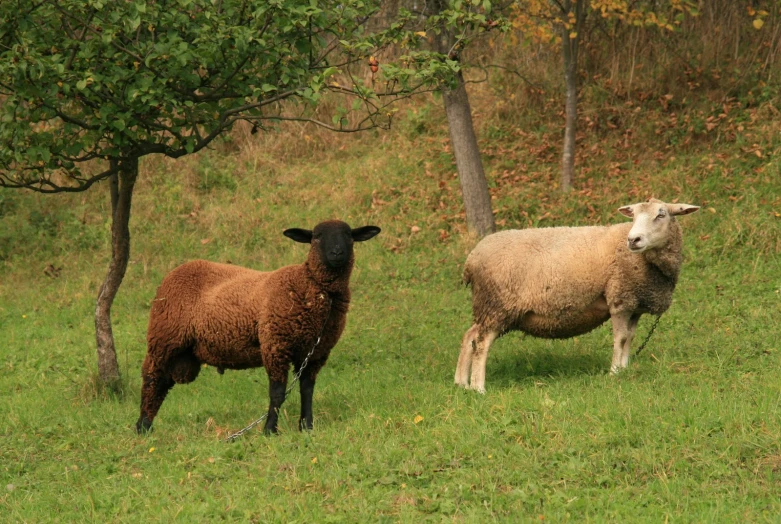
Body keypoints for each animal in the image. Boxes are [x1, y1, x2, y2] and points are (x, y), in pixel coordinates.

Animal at [136, 220, 380, 434]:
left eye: (349, 235)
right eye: (317, 237)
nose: (337, 253)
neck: (313, 289)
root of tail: (175, 271)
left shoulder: (316, 352)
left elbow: (307, 390)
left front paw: (307, 427)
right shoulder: (275, 345)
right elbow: (278, 393)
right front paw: (270, 430)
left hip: (180, 350)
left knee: (162, 384)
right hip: (164, 338)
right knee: (151, 379)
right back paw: (143, 427)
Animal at [454, 199, 696, 390]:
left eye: (661, 214)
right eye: (634, 215)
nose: (633, 240)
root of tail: (472, 259)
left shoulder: (634, 304)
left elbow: (629, 337)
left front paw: (625, 369)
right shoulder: (620, 298)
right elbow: (620, 339)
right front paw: (614, 372)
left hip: (488, 307)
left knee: (469, 336)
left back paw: (461, 383)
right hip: (498, 304)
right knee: (482, 343)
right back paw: (478, 388)